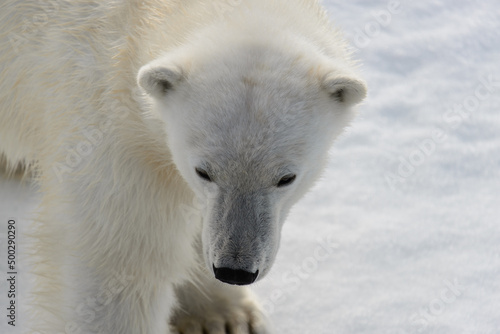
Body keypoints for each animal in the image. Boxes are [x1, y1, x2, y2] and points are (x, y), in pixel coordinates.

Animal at [0, 0, 368, 334]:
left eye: (286, 178)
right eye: (203, 171)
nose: (235, 270)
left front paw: (225, 317)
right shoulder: (107, 133)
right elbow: (117, 263)